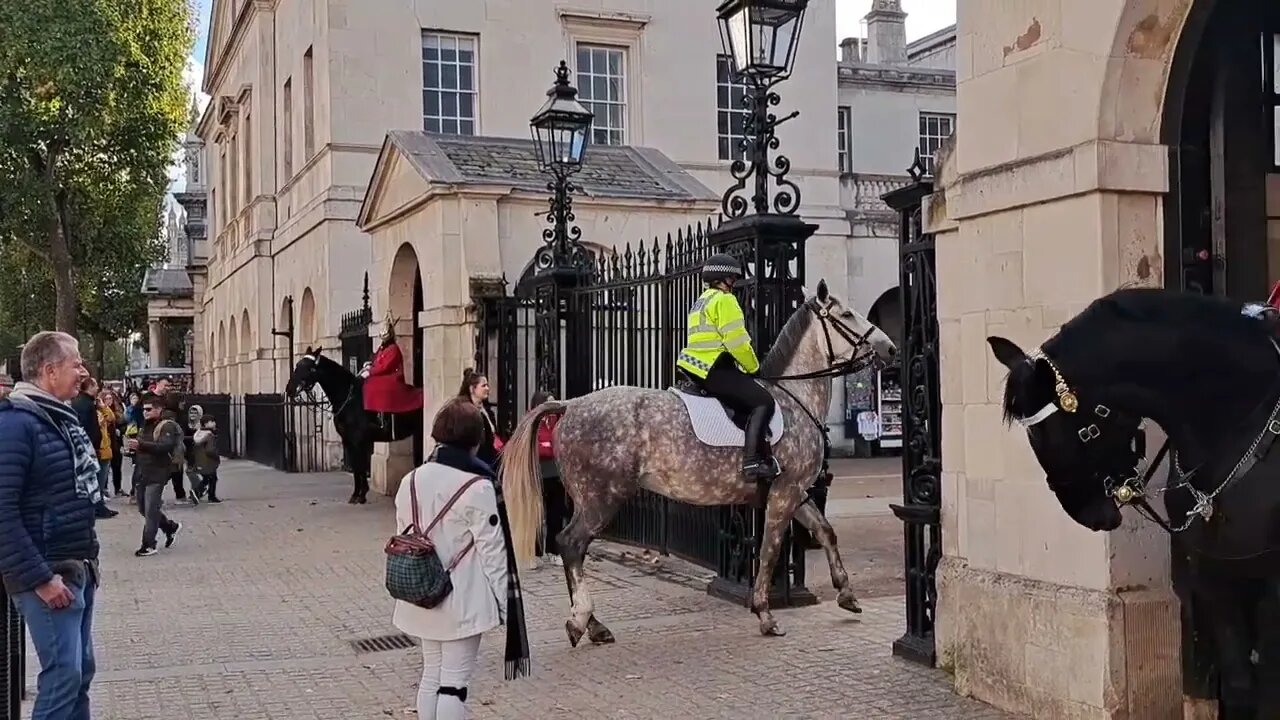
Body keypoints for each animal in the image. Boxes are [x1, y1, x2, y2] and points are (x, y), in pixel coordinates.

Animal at [284, 345, 414, 499]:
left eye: (309, 368)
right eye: (297, 365)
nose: (289, 390)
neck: (349, 398)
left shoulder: (358, 440)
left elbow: (360, 465)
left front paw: (361, 495)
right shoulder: (348, 440)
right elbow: (355, 466)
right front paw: (357, 494)